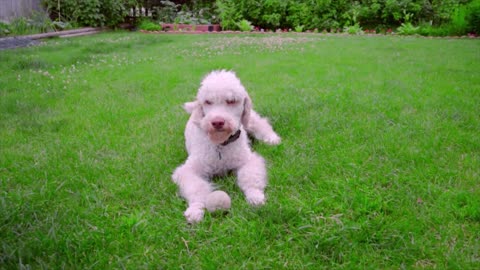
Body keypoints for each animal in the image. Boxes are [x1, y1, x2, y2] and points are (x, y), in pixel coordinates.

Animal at [173, 70, 282, 224]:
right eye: (208, 102)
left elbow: (249, 177)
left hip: (250, 121)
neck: (221, 145)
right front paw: (195, 209)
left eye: (231, 101)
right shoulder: (188, 170)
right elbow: (196, 187)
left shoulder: (248, 160)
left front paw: (255, 195)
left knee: (262, 125)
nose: (217, 122)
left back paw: (272, 139)